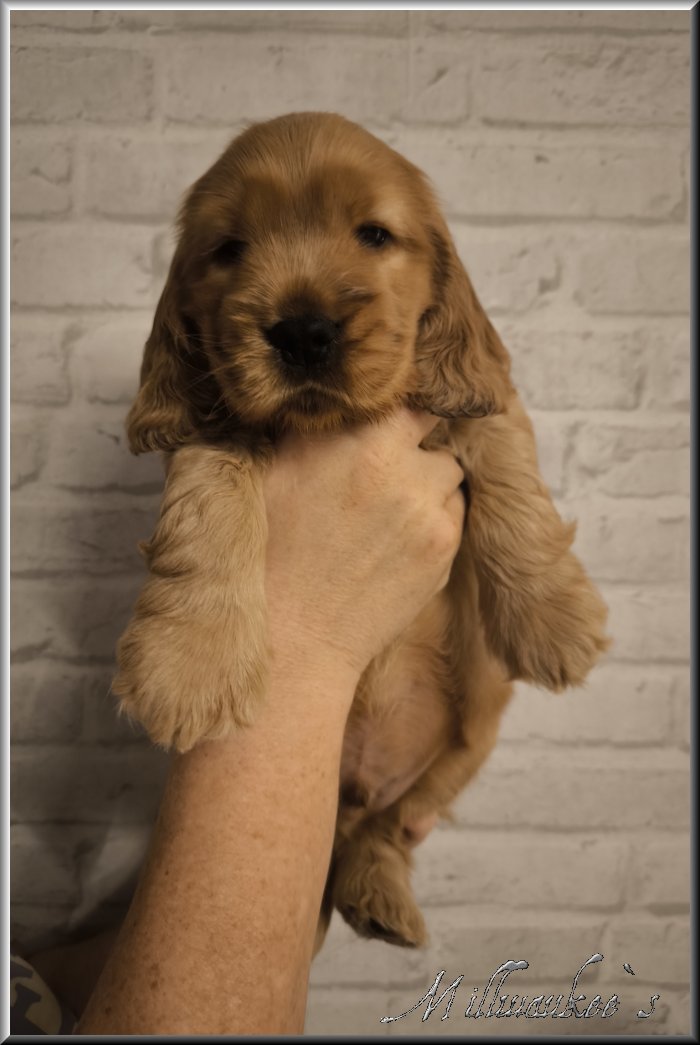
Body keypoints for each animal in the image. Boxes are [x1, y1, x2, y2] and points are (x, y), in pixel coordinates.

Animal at [113, 112, 610, 952]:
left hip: (471, 736)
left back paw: (380, 897)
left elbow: (511, 471)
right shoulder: (212, 423)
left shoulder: (471, 397)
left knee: (382, 828)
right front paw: (192, 664)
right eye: (229, 248)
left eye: (375, 233)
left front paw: (555, 619)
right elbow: (207, 499)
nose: (302, 332)